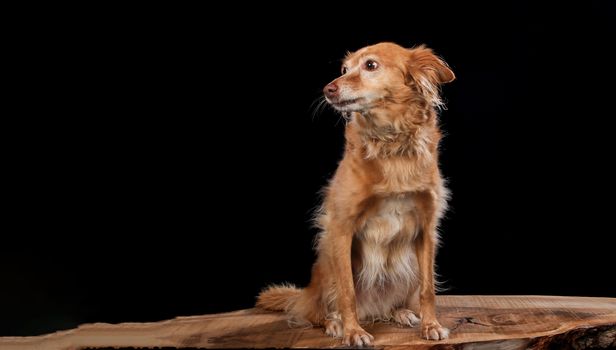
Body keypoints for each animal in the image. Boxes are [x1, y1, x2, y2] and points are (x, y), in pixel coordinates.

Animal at [255, 42, 452, 346]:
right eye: (344, 69)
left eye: (370, 65)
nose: (328, 89)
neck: (392, 143)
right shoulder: (341, 227)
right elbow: (347, 292)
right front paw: (353, 331)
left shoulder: (426, 229)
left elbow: (427, 289)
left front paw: (431, 325)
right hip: (326, 264)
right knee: (317, 311)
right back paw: (334, 322)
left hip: (408, 265)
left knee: (395, 301)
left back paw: (401, 312)